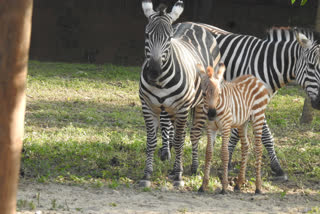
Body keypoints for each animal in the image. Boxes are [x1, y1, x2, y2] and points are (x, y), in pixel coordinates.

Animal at [139, 0, 221, 186]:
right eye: (147, 35)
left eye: (168, 38)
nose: (153, 71)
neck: (160, 82)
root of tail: (194, 24)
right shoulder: (148, 106)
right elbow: (151, 141)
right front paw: (147, 174)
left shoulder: (182, 107)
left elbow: (178, 141)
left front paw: (178, 175)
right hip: (173, 110)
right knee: (181, 133)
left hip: (200, 103)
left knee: (194, 134)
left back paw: (193, 168)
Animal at [198, 63, 270, 194]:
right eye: (204, 94)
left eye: (219, 94)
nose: (212, 113)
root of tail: (254, 78)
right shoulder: (210, 127)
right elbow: (208, 153)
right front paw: (203, 186)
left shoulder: (226, 126)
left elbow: (225, 153)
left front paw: (224, 187)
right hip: (243, 122)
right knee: (245, 146)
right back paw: (239, 183)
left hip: (258, 117)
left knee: (258, 148)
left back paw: (258, 186)